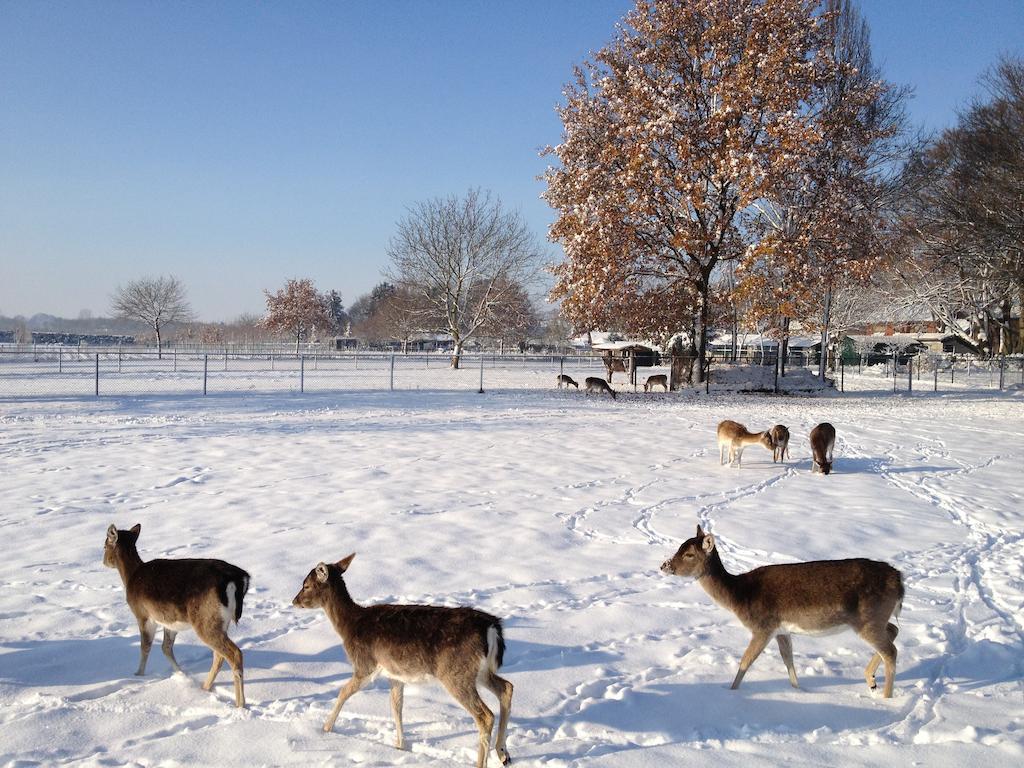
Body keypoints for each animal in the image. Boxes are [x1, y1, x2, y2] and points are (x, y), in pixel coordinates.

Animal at [101, 524, 249, 708]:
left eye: (104, 546)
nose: (103, 561)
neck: (130, 576)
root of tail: (239, 579)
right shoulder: (170, 622)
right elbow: (166, 647)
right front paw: (181, 674)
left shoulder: (143, 614)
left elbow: (145, 646)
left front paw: (138, 674)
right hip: (220, 621)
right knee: (219, 655)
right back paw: (205, 688)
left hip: (205, 620)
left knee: (234, 653)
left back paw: (240, 704)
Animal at [290, 557, 512, 765]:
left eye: (306, 585)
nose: (294, 601)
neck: (349, 626)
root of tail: (491, 627)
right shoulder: (395, 674)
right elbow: (396, 706)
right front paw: (400, 746)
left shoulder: (365, 664)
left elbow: (344, 691)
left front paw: (326, 728)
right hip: (479, 671)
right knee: (506, 688)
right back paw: (503, 754)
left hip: (455, 673)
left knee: (485, 715)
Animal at [659, 528, 901, 696]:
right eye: (680, 546)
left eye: (690, 554)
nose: (664, 565)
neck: (740, 596)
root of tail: (899, 581)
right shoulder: (782, 631)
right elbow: (788, 661)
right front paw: (798, 690)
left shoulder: (762, 627)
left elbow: (745, 662)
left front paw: (731, 693)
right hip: (875, 618)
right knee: (893, 630)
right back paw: (871, 680)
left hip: (867, 618)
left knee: (891, 651)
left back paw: (886, 698)